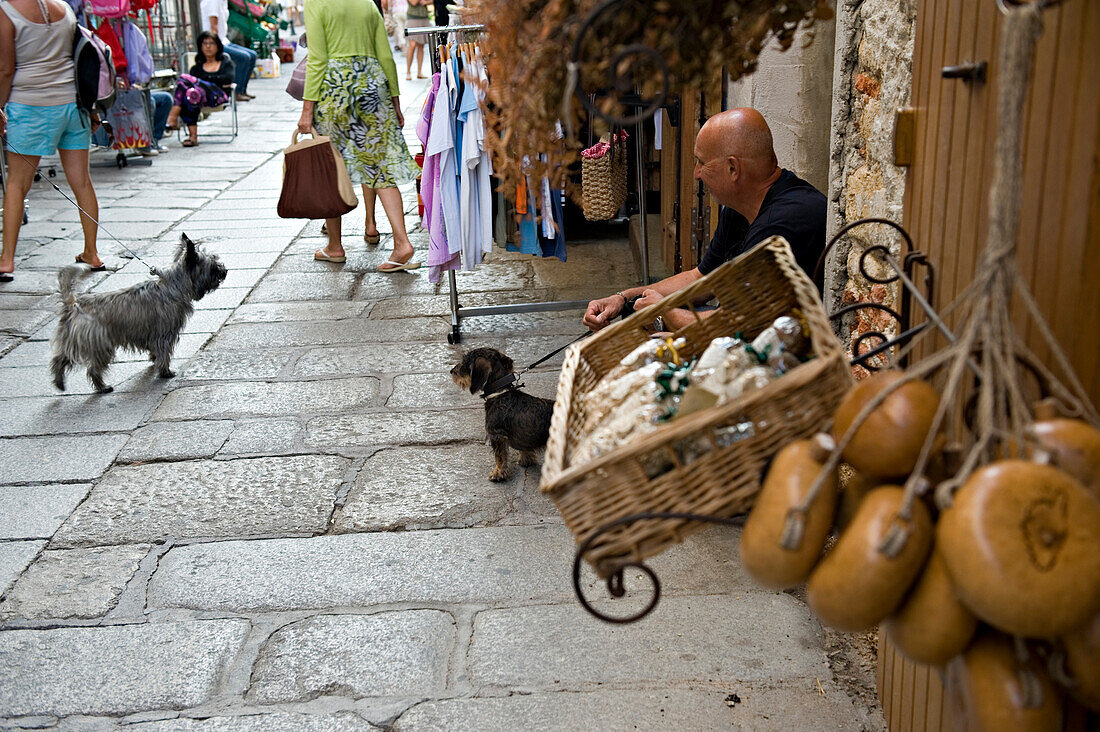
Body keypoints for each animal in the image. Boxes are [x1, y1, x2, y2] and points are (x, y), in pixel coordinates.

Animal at [51, 234, 225, 394]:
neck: (173, 286)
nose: (225, 271)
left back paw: (59, 382)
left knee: (60, 359)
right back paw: (103, 387)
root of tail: (73, 303)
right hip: (100, 345)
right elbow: (164, 352)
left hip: (73, 341)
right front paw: (165, 371)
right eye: (212, 266)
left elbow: (155, 350)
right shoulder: (165, 333)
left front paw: (154, 360)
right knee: (93, 369)